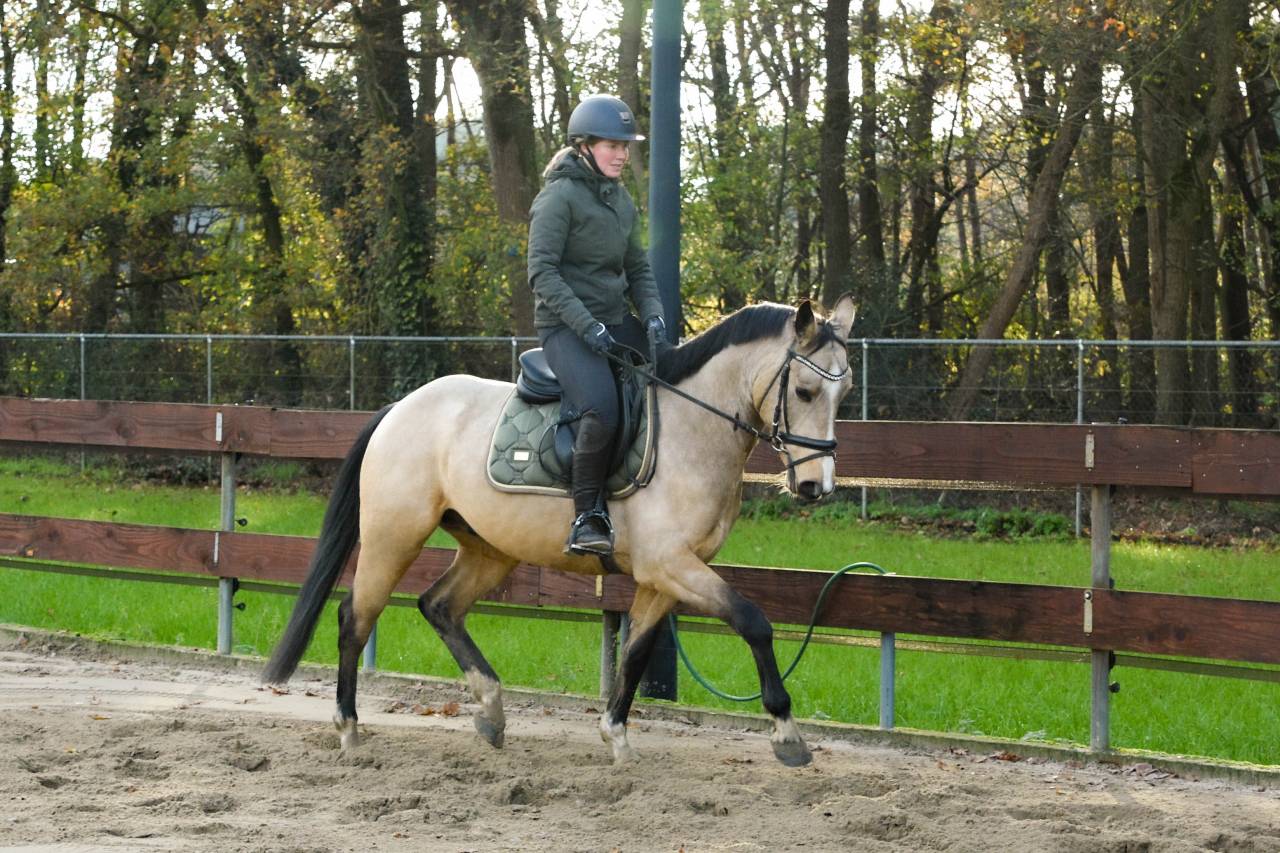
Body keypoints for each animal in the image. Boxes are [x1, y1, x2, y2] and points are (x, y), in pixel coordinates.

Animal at [263, 294, 856, 767]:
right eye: (805, 391)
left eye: (843, 393)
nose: (816, 486)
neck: (691, 431)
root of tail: (399, 408)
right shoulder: (671, 565)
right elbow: (753, 622)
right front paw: (787, 735)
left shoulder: (664, 576)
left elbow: (636, 652)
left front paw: (616, 737)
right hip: (394, 536)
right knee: (355, 617)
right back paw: (349, 728)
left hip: (490, 549)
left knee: (439, 606)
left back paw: (491, 711)